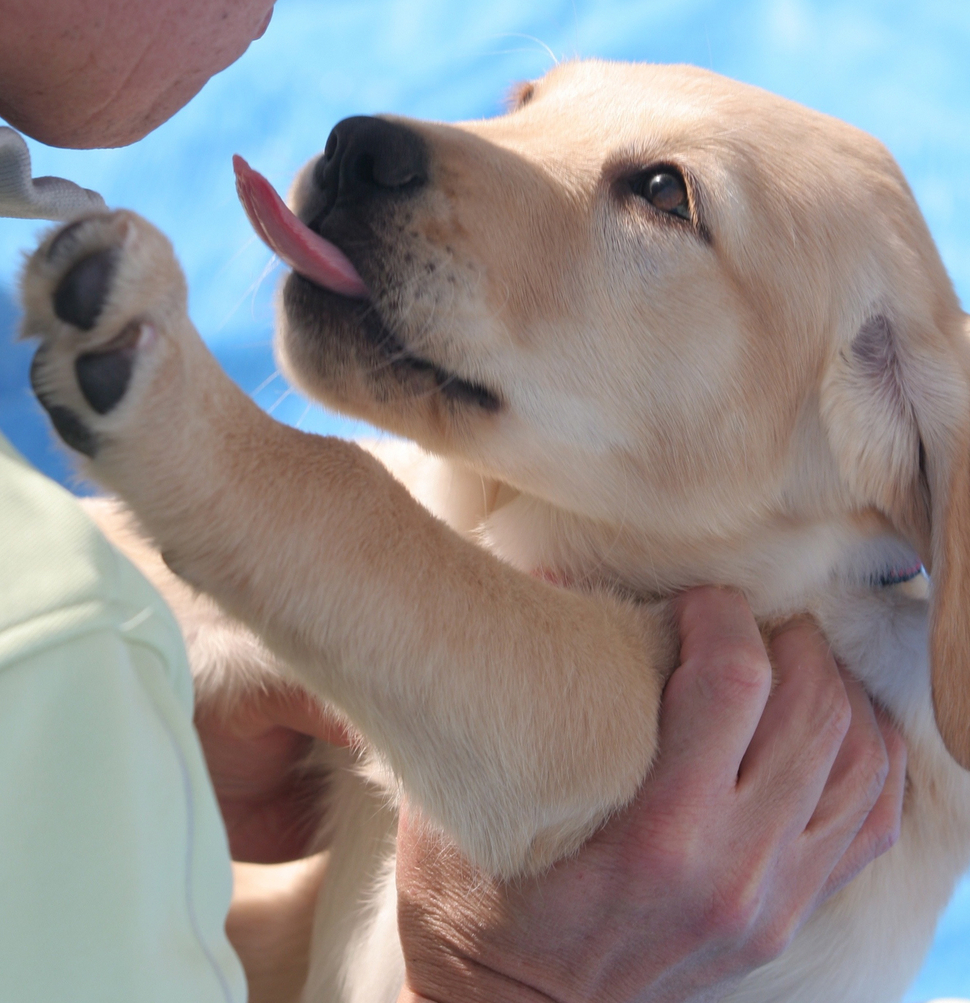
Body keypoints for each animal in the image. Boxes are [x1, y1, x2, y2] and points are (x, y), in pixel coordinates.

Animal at [20, 60, 970, 1003]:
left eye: (665, 192)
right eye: (525, 102)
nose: (357, 146)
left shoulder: (608, 717)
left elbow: (357, 503)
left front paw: (171, 388)